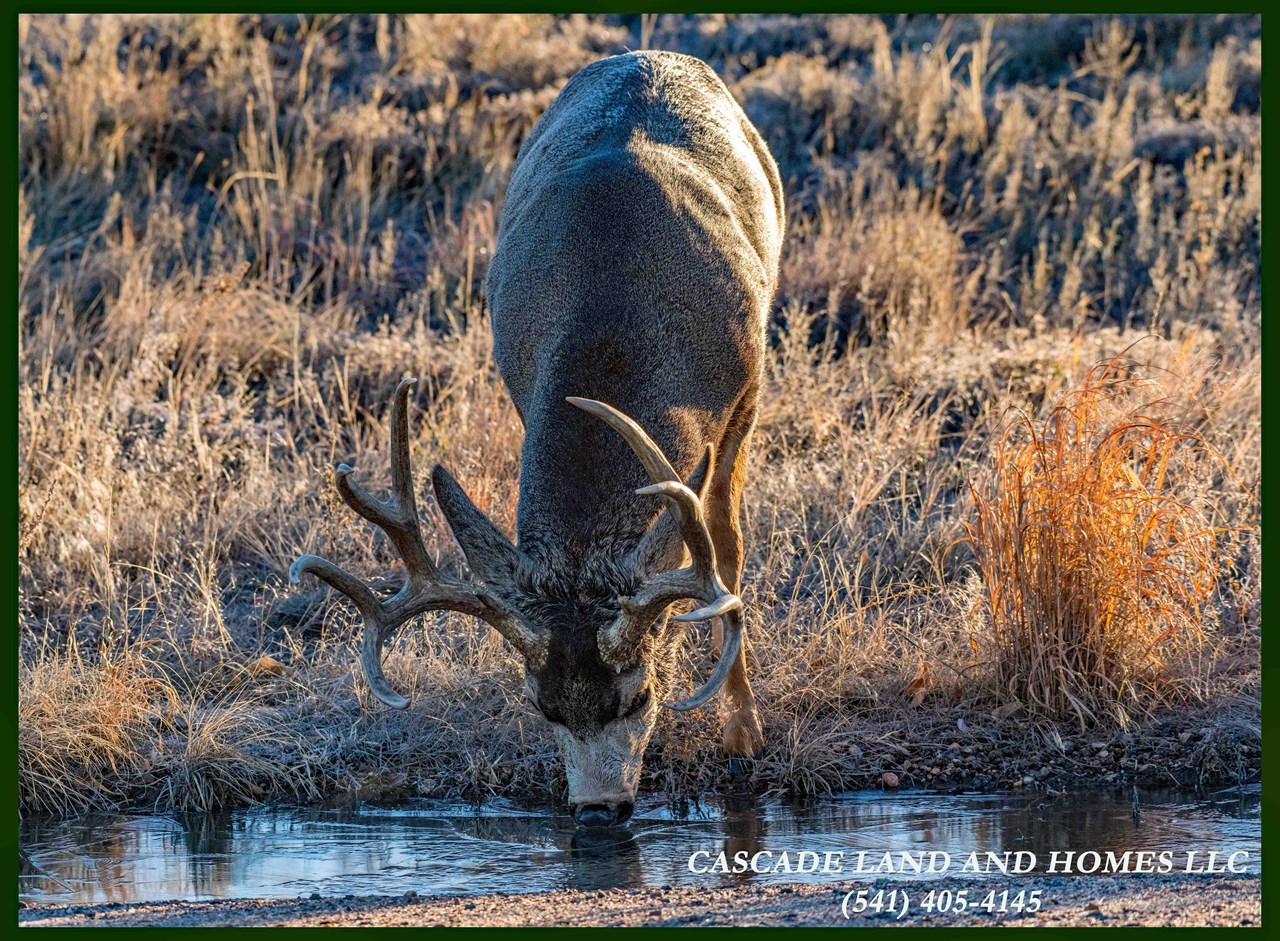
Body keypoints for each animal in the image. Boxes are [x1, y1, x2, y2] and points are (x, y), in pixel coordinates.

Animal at [292, 50, 784, 829]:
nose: (597, 809)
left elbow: (726, 559)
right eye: (542, 707)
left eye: (641, 696)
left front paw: (742, 734)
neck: (613, 319)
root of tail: (648, 55)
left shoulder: (744, 399)